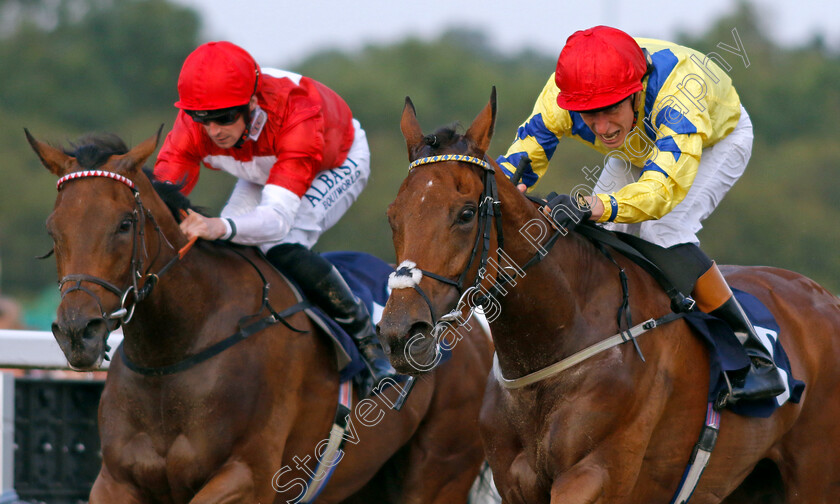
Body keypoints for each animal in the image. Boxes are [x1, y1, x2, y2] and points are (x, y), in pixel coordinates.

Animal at [27, 128, 492, 502]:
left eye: (125, 224)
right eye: (52, 229)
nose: (77, 332)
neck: (173, 355)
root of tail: (470, 326)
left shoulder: (247, 476)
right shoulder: (116, 481)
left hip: (440, 471)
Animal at [378, 91, 840, 504]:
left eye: (466, 214)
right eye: (393, 216)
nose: (401, 333)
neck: (554, 342)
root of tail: (825, 297)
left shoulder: (596, 475)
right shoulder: (515, 483)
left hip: (814, 477)